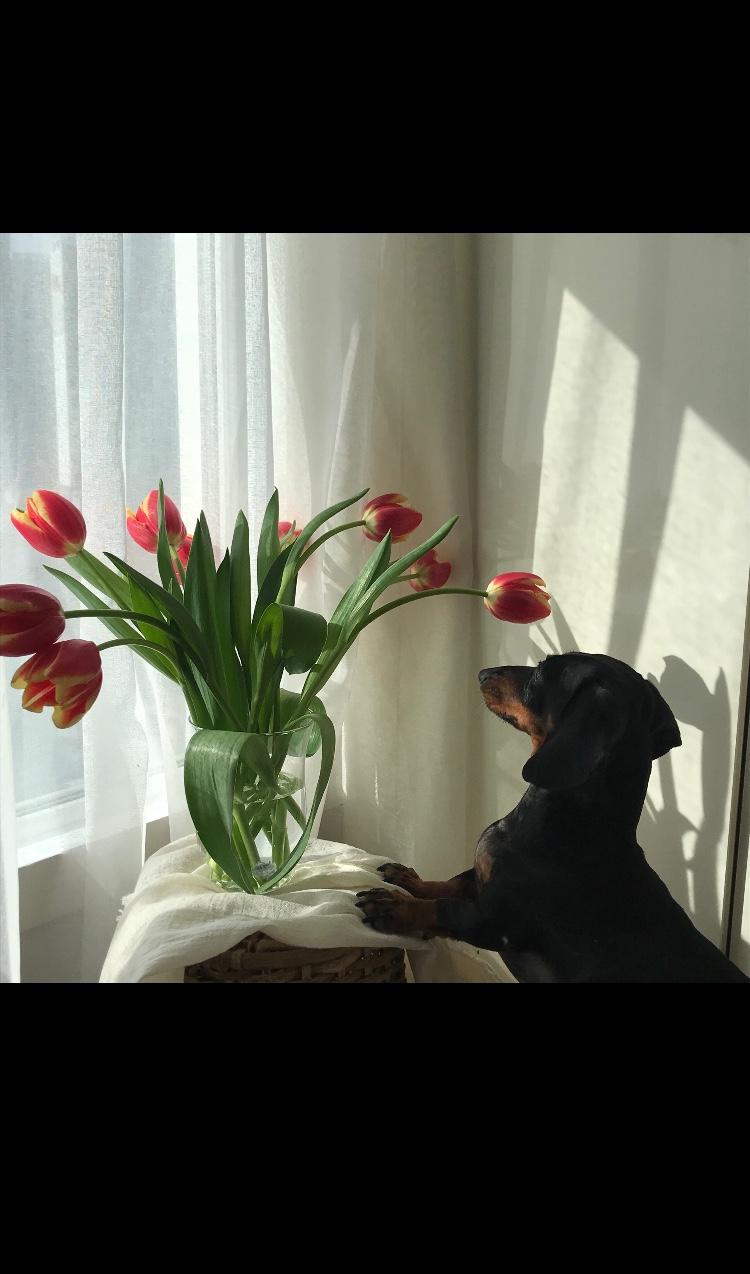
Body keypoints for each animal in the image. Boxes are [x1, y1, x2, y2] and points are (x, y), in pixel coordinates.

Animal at [355, 652, 749, 983]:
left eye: (543, 670)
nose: (482, 672)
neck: (567, 823)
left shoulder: (495, 922)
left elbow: (445, 909)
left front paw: (395, 907)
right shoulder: (482, 880)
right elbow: (449, 883)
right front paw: (408, 879)